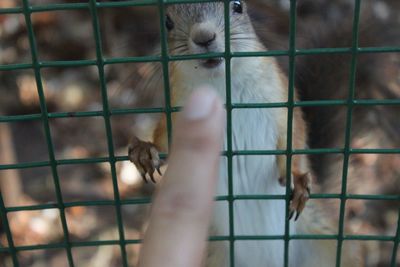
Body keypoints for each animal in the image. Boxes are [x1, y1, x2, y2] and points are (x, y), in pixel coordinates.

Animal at [127, 1, 362, 266]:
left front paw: (297, 177)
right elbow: (164, 140)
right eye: (167, 21)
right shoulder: (177, 110)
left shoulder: (282, 98)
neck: (220, 84)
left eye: (238, 6)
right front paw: (146, 150)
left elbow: (296, 135)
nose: (204, 37)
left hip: (327, 241)